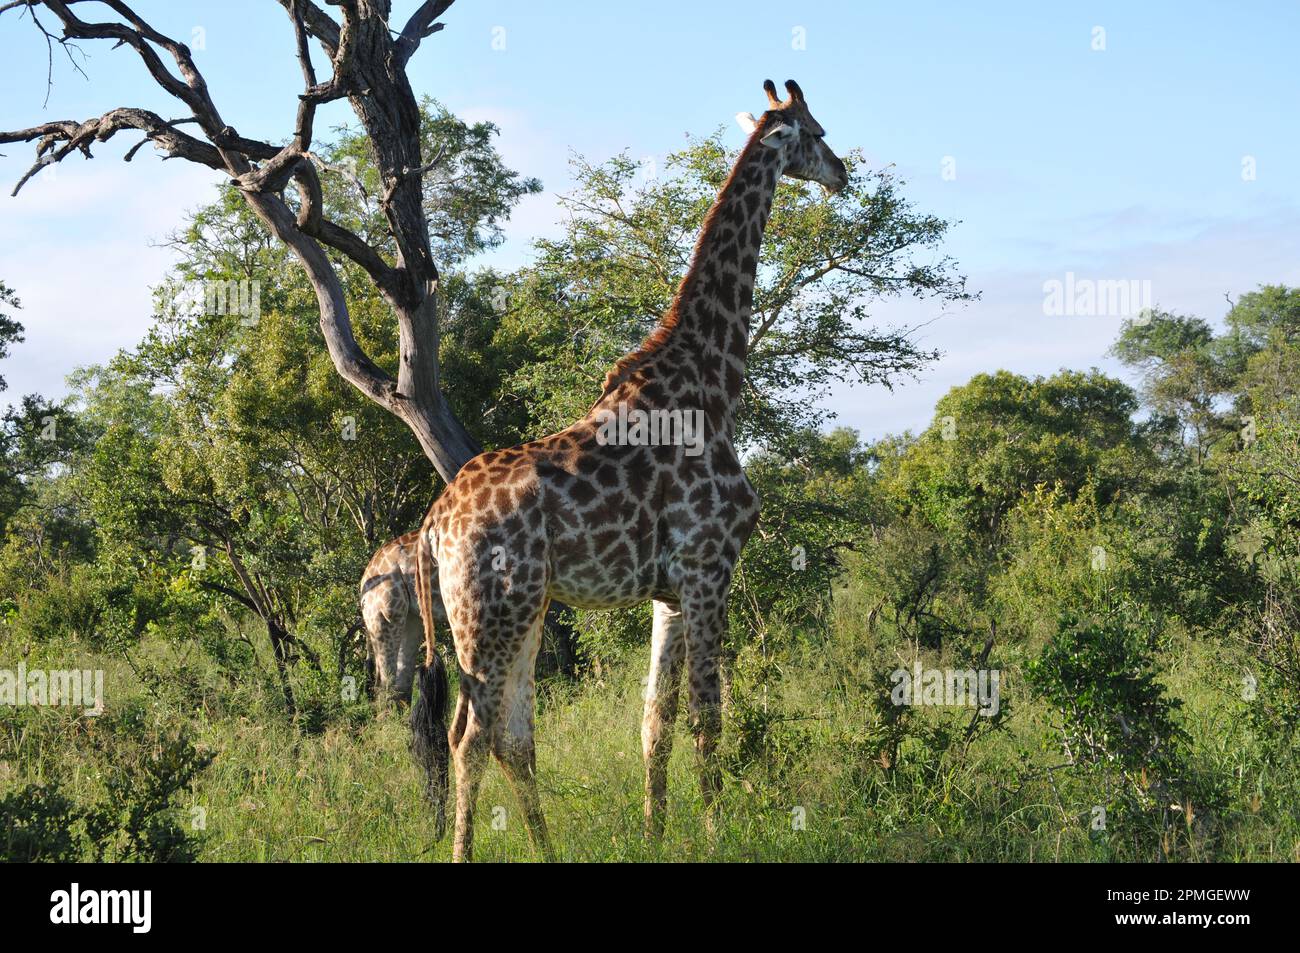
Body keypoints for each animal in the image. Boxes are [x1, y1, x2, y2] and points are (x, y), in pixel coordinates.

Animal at [410, 78, 847, 858]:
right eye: (818, 131)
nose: (845, 172)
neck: (714, 378)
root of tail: (434, 523)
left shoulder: (666, 592)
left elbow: (655, 720)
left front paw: (656, 831)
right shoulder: (709, 568)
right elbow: (708, 716)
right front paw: (714, 834)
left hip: (521, 609)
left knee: (512, 736)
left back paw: (549, 850)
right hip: (488, 611)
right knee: (469, 736)